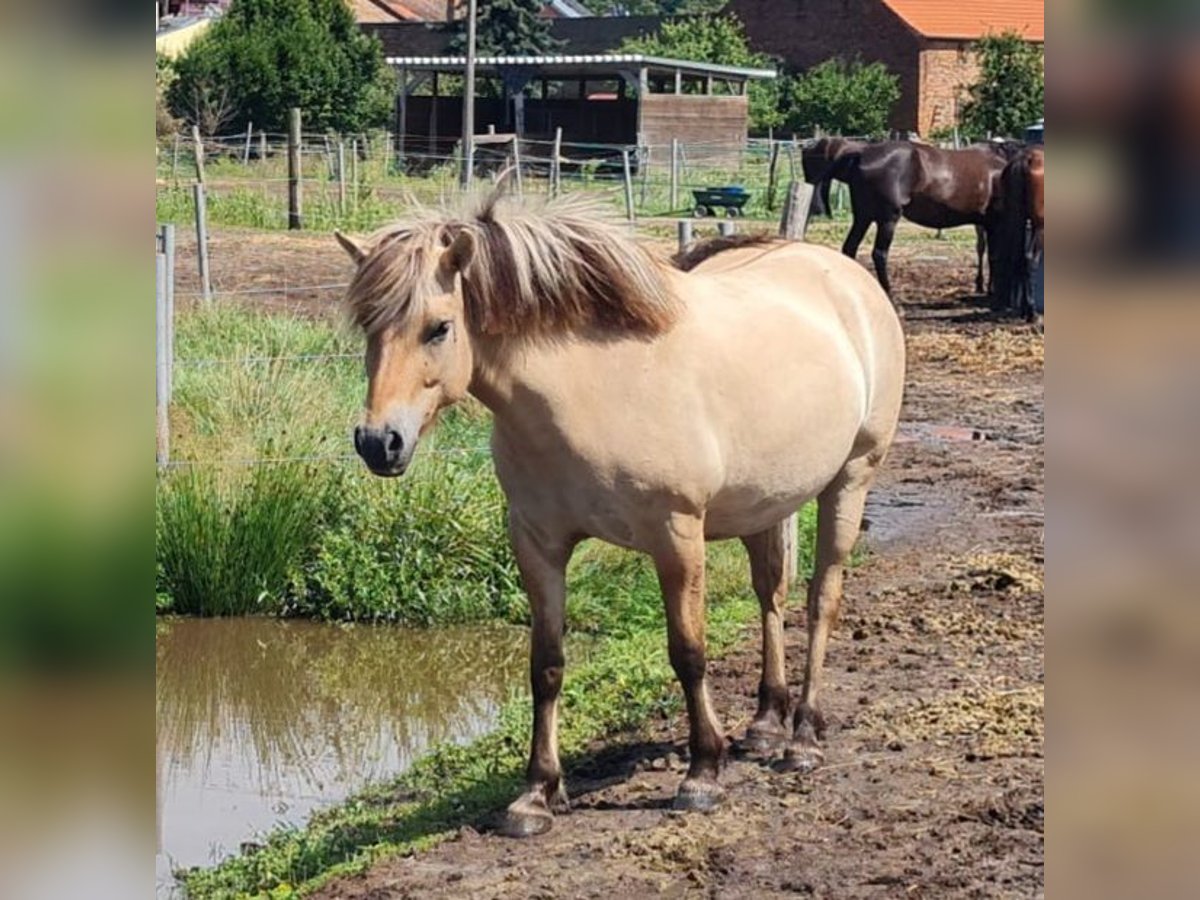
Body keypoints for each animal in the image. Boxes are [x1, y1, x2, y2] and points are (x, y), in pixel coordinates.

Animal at [333, 190, 902, 840]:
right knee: (772, 596)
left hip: (850, 479)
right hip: (767, 502)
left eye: (439, 328)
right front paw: (536, 794)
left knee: (821, 599)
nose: (379, 443)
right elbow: (546, 665)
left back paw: (803, 736)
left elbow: (688, 652)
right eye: (368, 327)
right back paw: (764, 724)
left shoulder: (676, 536)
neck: (588, 390)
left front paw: (702, 773)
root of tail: (845, 275)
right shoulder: (537, 542)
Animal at [988, 150, 1046, 324]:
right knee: (1030, 260)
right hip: (1039, 227)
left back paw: (1024, 310)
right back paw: (1032, 313)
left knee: (1018, 258)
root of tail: (1026, 159)